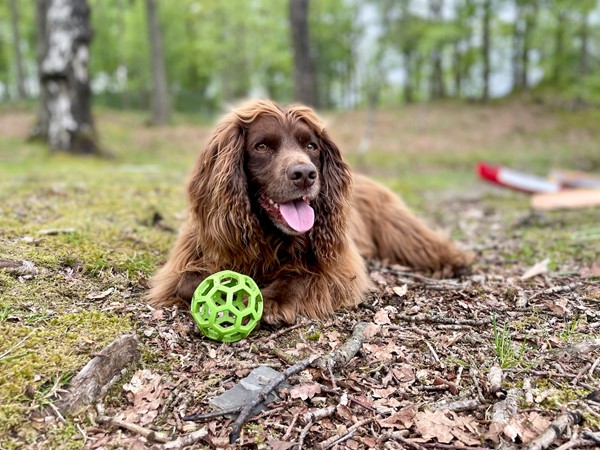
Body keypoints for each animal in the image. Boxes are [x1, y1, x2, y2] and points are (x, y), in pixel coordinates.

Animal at [148, 99, 472, 324]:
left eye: (312, 146)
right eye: (262, 146)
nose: (305, 174)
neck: (268, 234)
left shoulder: (340, 266)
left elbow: (302, 275)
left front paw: (274, 300)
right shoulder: (191, 257)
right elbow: (189, 281)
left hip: (395, 224)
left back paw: (454, 261)